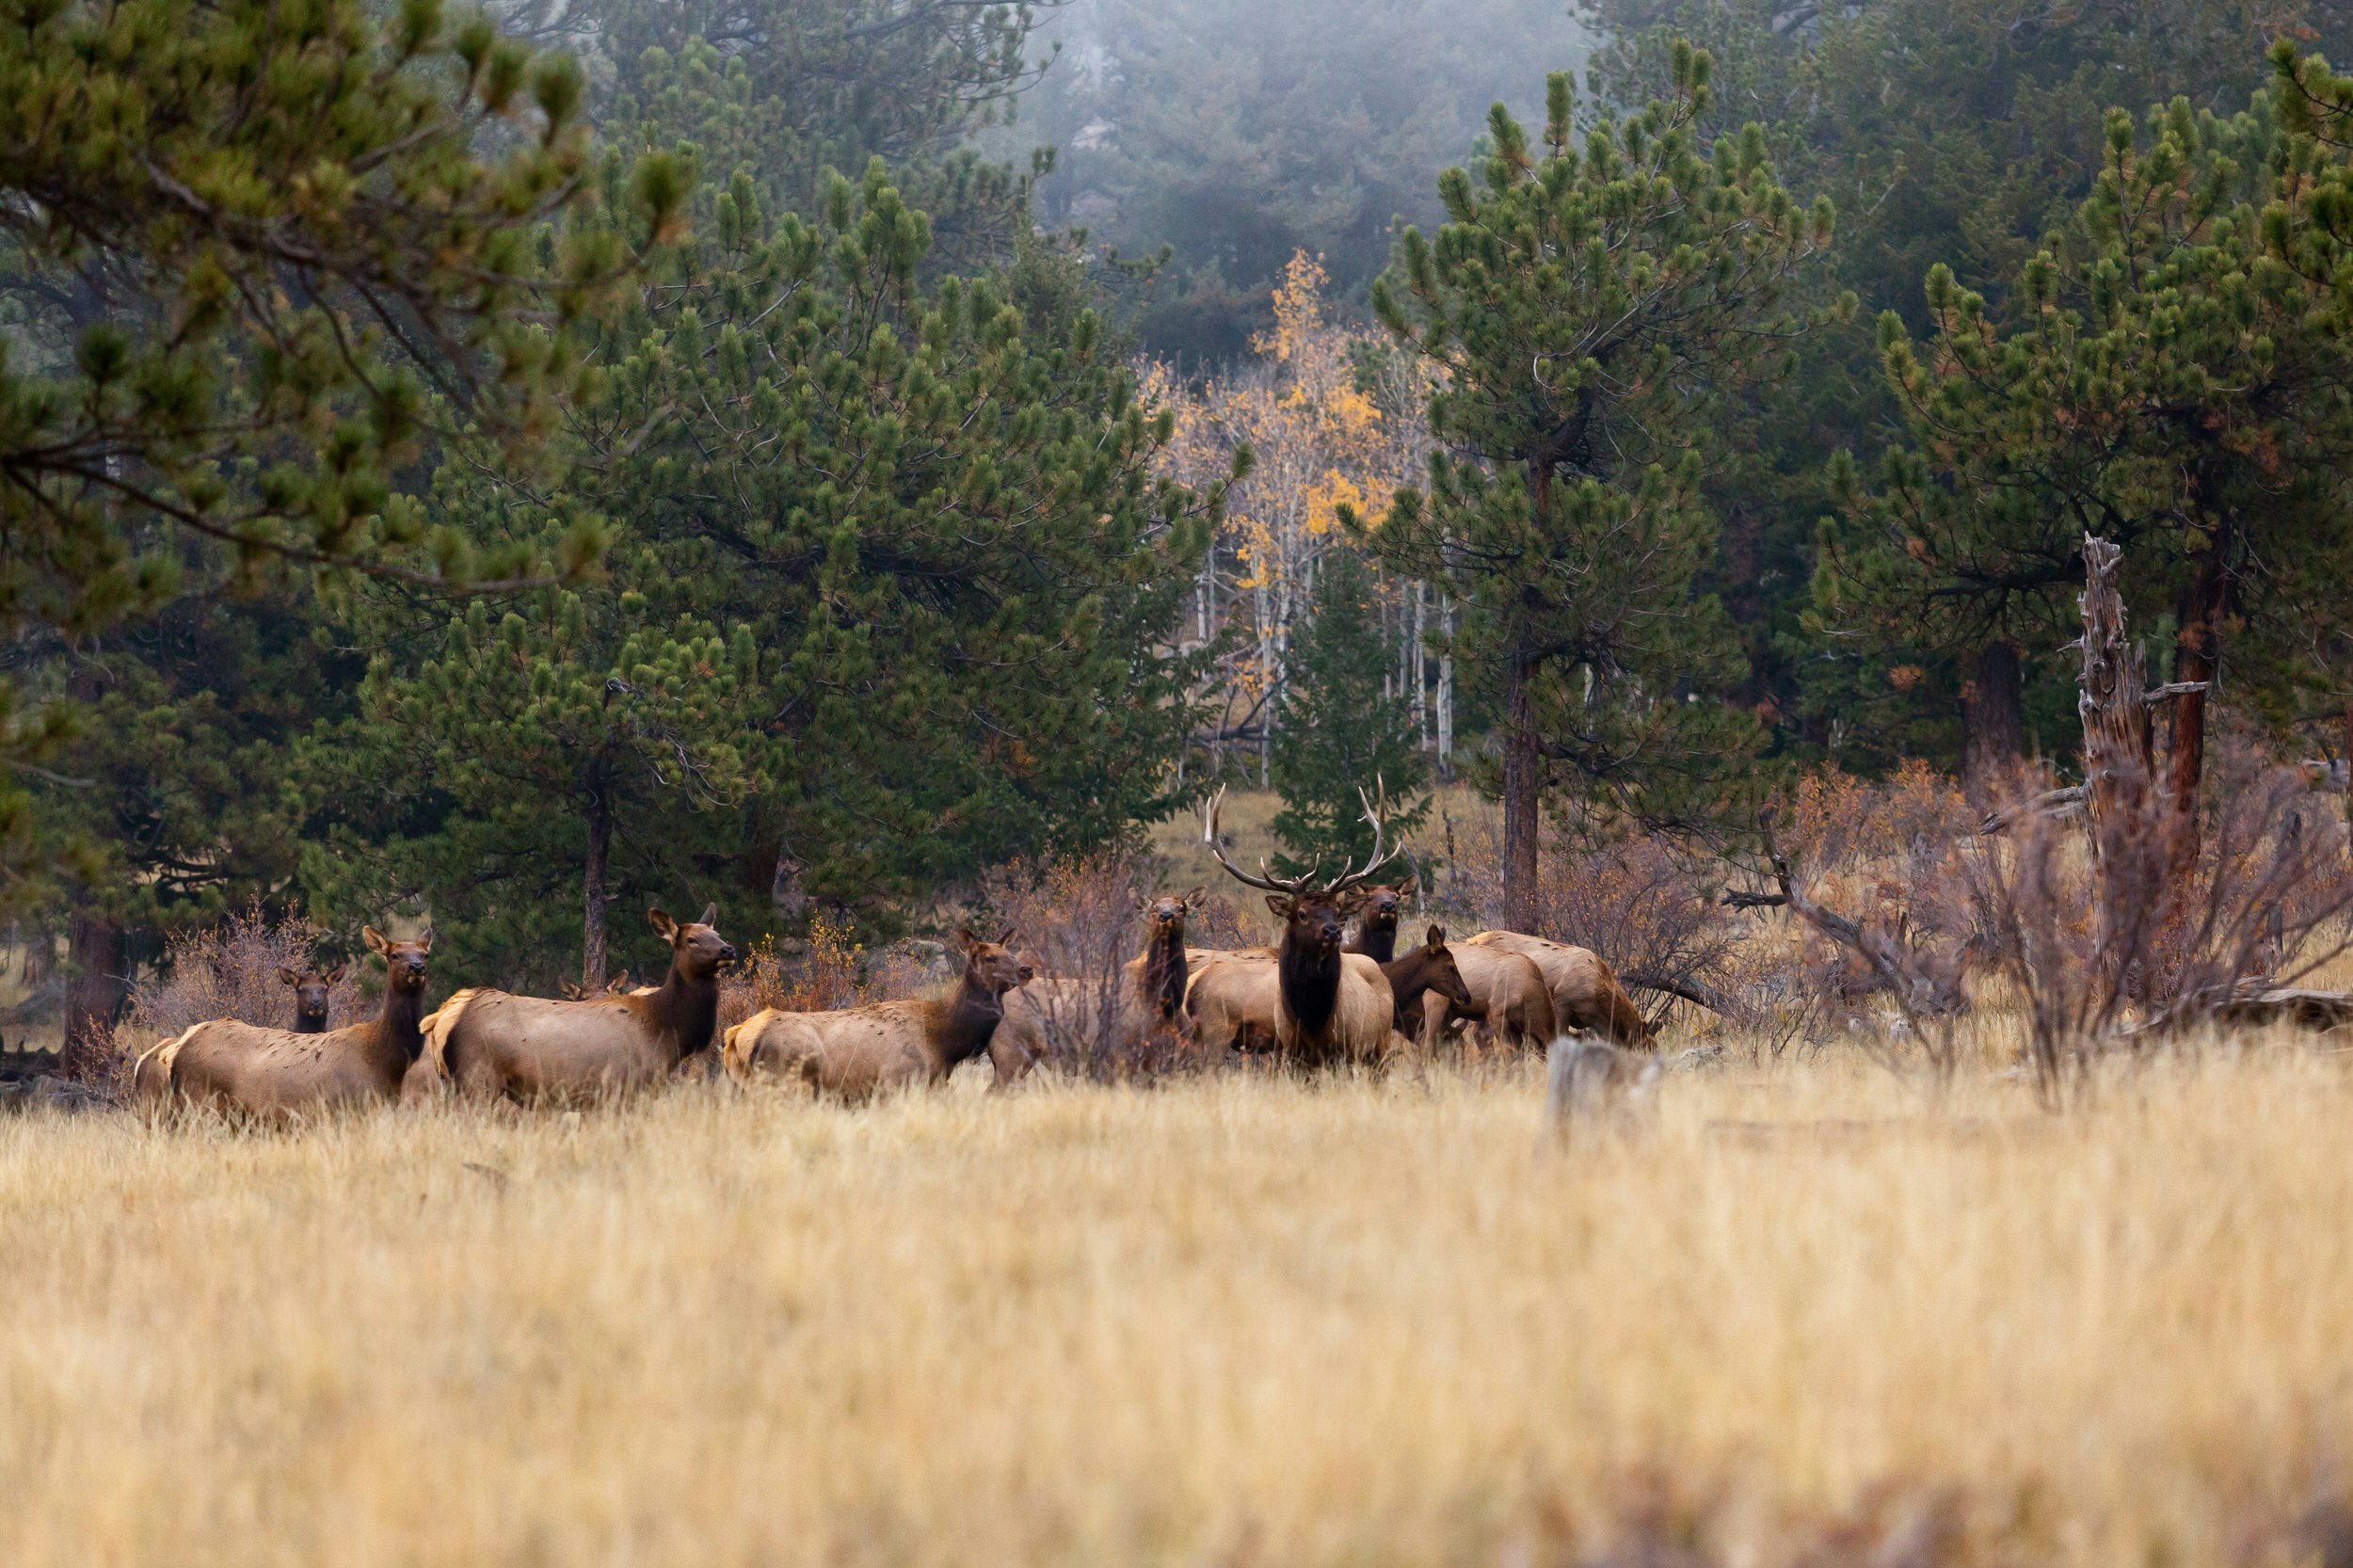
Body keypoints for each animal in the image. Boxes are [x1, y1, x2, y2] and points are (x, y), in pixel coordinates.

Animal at [133, 929, 432, 1114]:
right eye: (394, 954)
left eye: (425, 954)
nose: (417, 967)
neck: (384, 1061)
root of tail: (177, 1049)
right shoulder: (344, 1105)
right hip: (199, 1105)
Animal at [416, 905, 736, 1104]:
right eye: (692, 939)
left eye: (717, 934)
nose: (728, 949)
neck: (664, 1031)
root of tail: (445, 1015)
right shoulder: (623, 1085)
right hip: (477, 1080)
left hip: (449, 1084)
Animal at [723, 929, 1032, 1099]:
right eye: (990, 957)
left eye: (1012, 952)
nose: (1026, 969)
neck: (944, 1042)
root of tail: (737, 1037)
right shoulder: (897, 1081)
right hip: (788, 1082)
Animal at [994, 886, 1207, 1080]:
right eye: (1154, 908)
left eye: (1182, 908)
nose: (1166, 914)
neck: (1160, 1000)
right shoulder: (1120, 1053)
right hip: (1009, 1051)